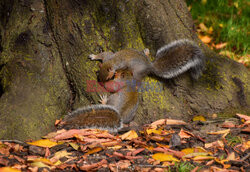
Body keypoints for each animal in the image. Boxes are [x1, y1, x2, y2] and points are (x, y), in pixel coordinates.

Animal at [60, 39, 205, 132]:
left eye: (107, 78)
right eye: (98, 73)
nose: (101, 81)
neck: (111, 63)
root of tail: (150, 66)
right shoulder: (108, 57)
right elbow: (103, 54)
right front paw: (94, 56)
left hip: (136, 73)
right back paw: (146, 52)